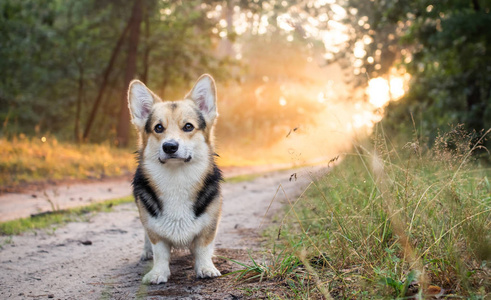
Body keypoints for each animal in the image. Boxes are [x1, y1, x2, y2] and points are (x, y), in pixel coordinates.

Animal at [129, 74, 225, 284]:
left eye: (188, 126)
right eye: (158, 128)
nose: (170, 146)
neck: (177, 178)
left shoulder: (209, 224)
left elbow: (203, 247)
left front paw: (206, 267)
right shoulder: (153, 228)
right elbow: (160, 252)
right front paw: (158, 273)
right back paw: (146, 252)